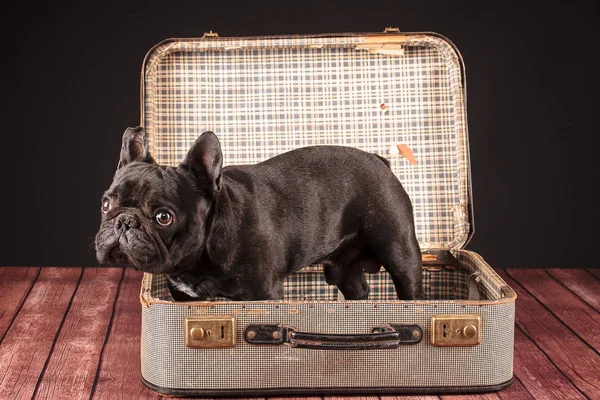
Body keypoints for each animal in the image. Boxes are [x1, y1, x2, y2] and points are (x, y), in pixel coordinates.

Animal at [95, 127, 422, 300]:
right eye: (106, 204)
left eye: (164, 217)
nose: (124, 221)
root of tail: (379, 161)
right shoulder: (182, 295)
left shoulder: (263, 293)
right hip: (343, 268)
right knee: (357, 288)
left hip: (400, 251)